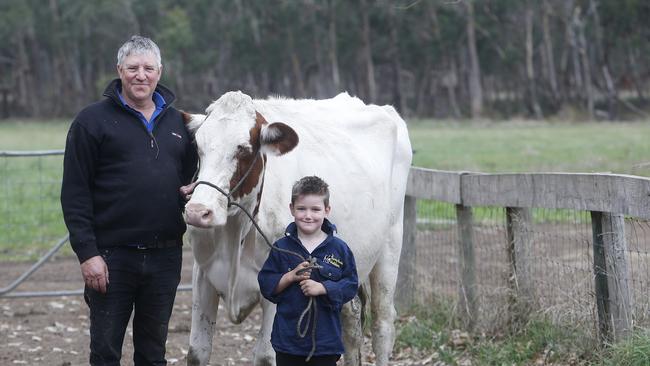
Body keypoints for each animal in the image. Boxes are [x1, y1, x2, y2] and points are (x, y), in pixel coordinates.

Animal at [182, 89, 410, 366]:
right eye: (198, 147)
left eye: (244, 149)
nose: (198, 212)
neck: (236, 232)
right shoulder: (202, 276)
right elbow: (197, 352)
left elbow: (266, 356)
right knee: (351, 323)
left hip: (390, 248)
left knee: (382, 324)